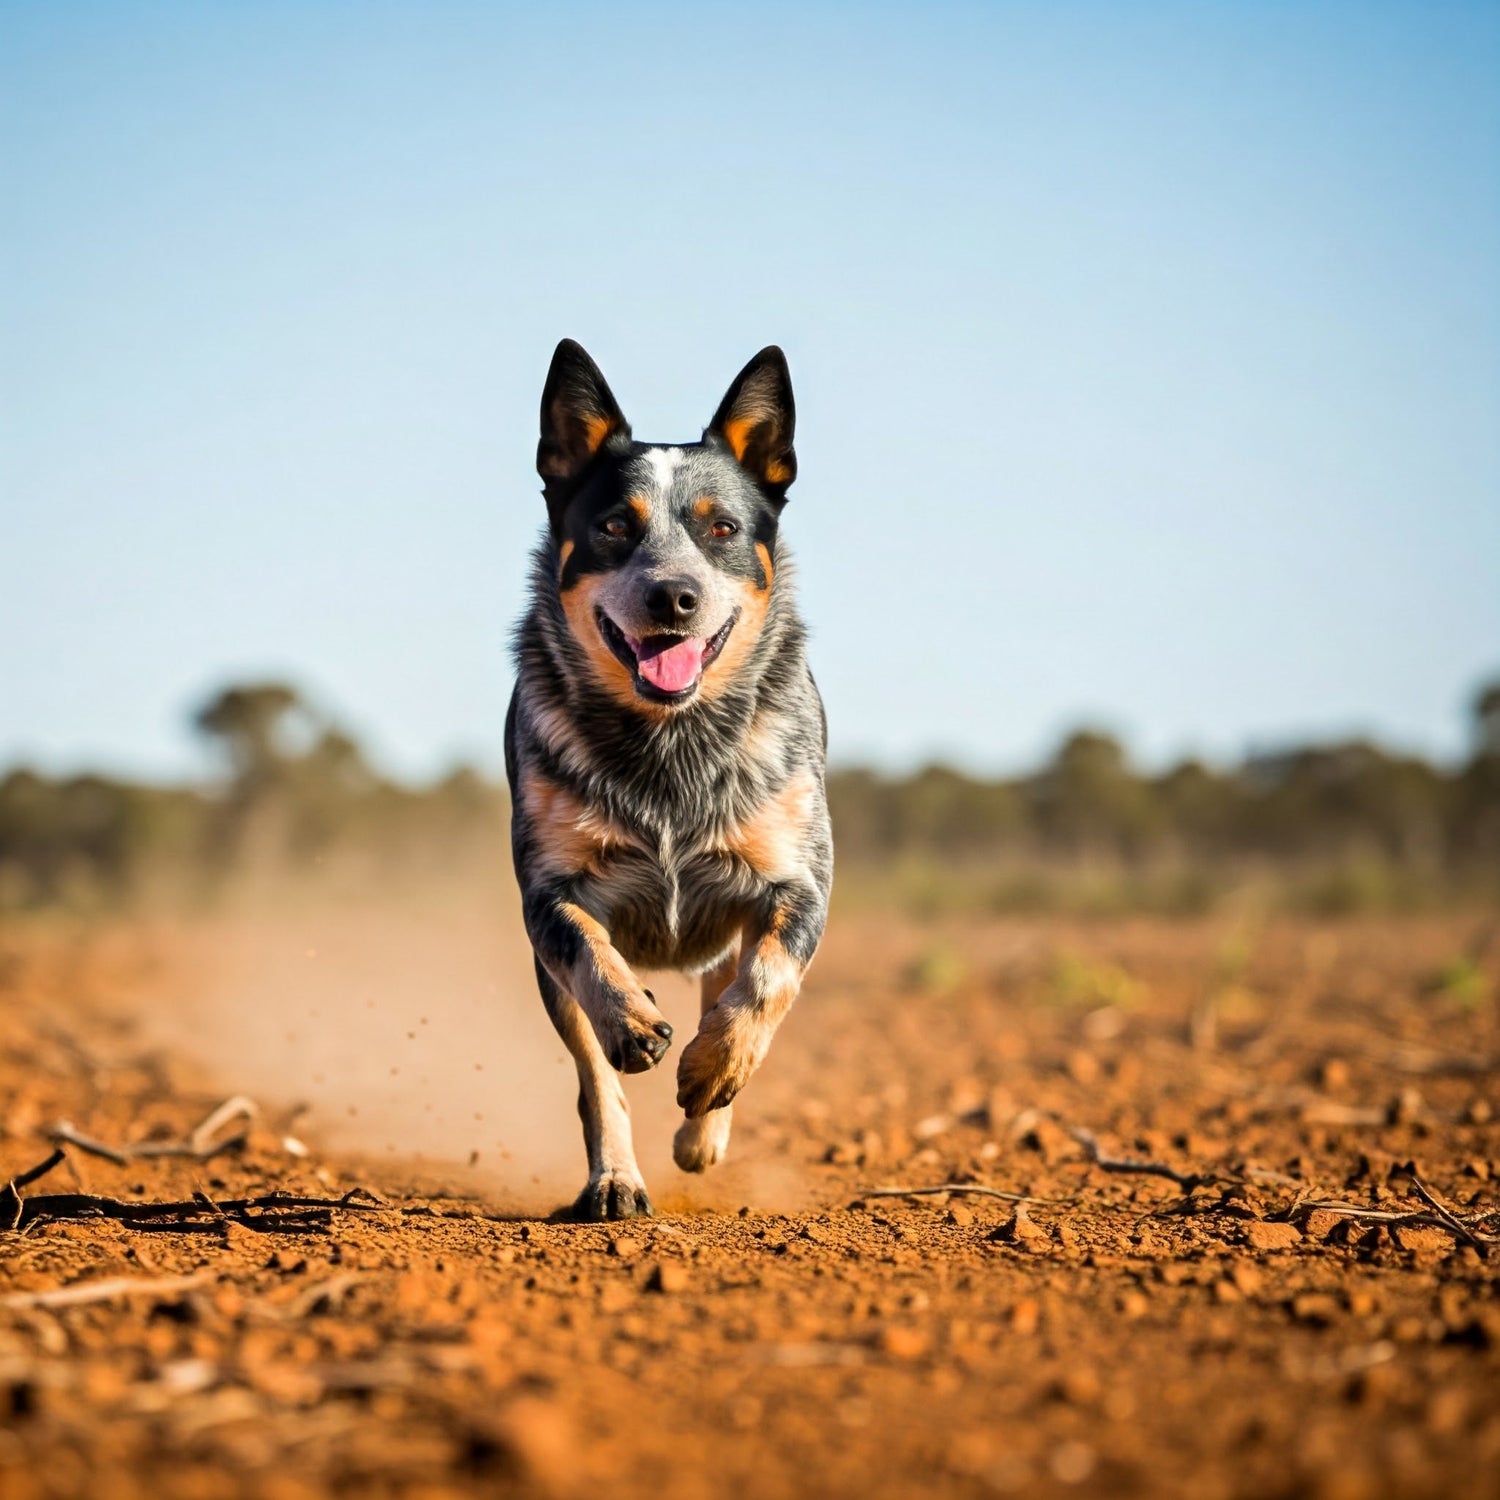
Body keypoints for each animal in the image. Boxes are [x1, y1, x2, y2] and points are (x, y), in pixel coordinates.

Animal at [504, 340, 834, 1218]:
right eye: (615, 526)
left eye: (722, 528)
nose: (673, 596)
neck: (669, 745)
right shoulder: (549, 896)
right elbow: (592, 976)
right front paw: (632, 1023)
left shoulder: (798, 883)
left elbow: (766, 983)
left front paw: (713, 1074)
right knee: (594, 1070)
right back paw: (617, 1174)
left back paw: (701, 1129)